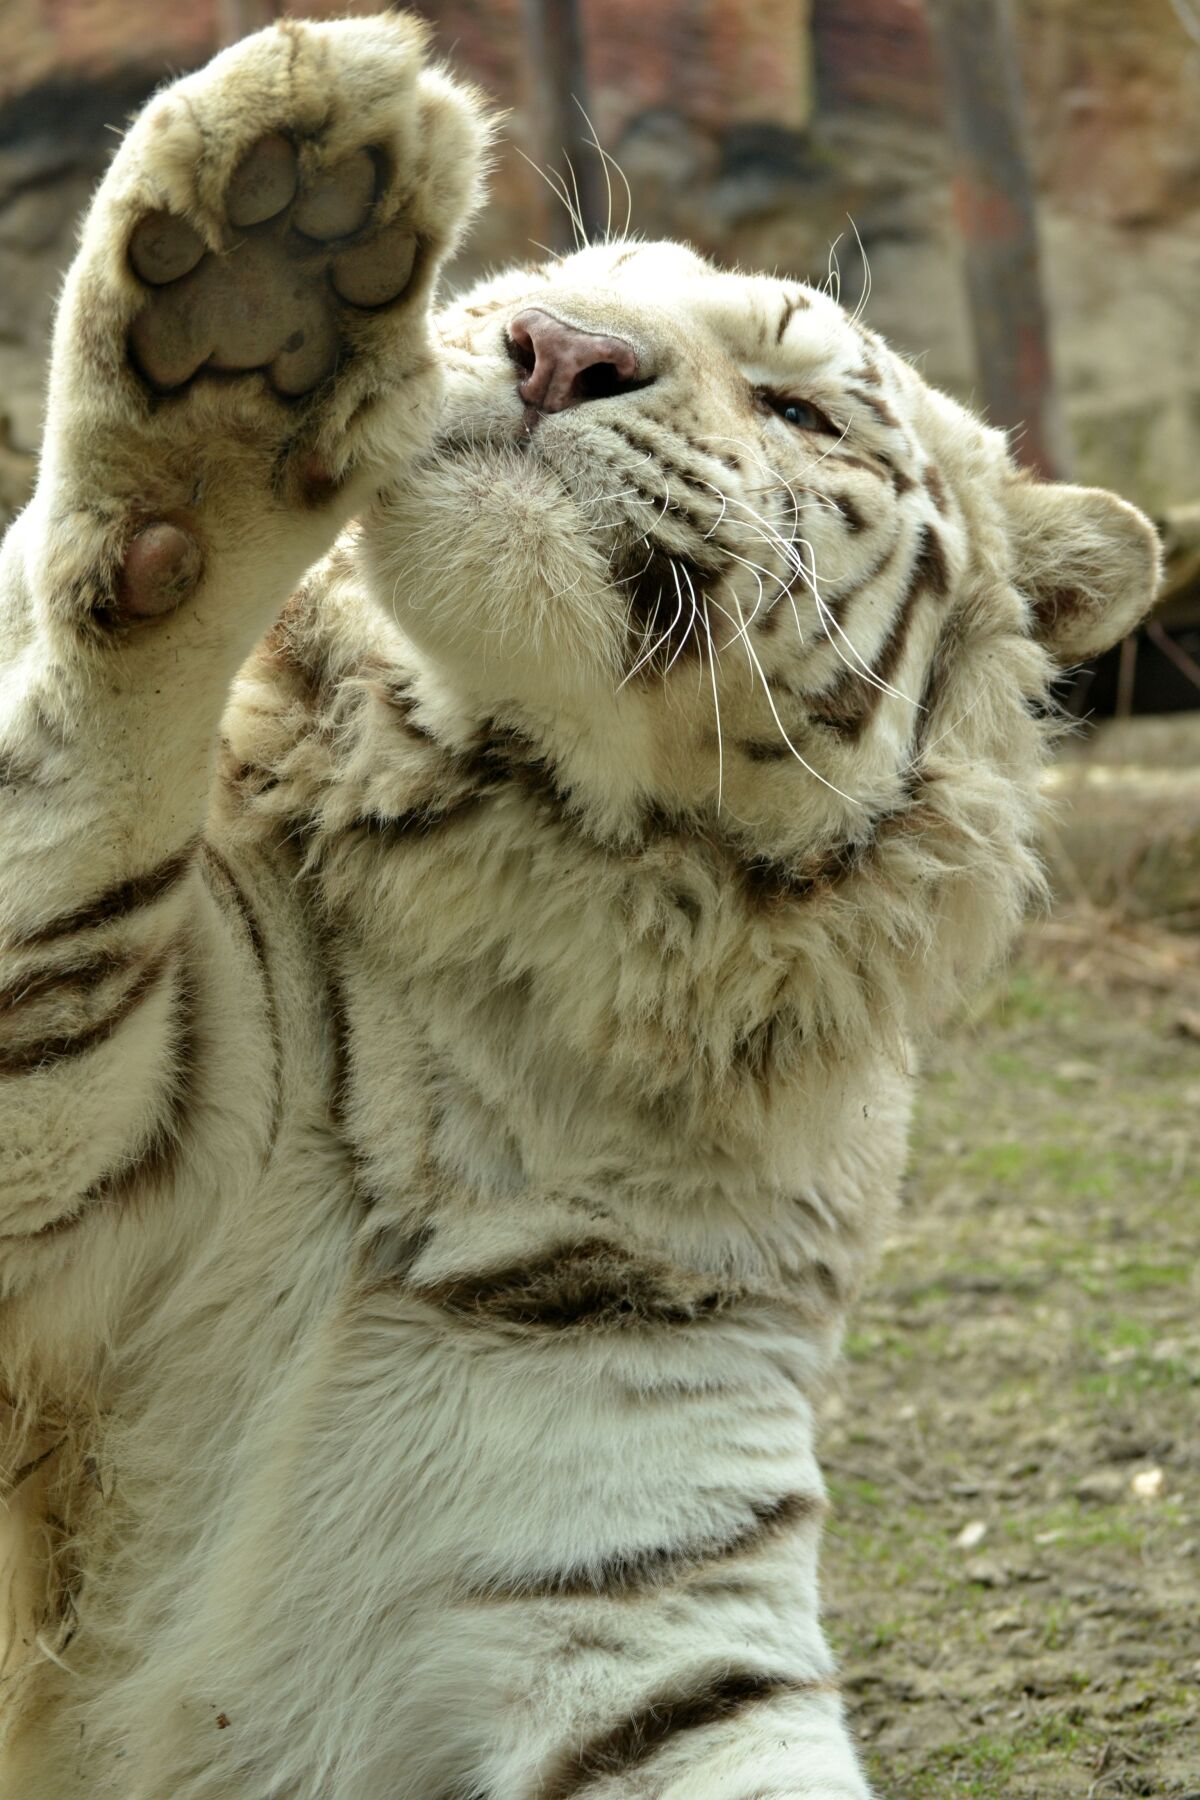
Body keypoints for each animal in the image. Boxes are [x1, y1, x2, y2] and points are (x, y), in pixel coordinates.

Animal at [0, 15, 1159, 1799]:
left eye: (798, 405)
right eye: (520, 298)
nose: (556, 352)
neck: (540, 947)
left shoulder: (644, 1587)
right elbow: (80, 764)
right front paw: (265, 263)